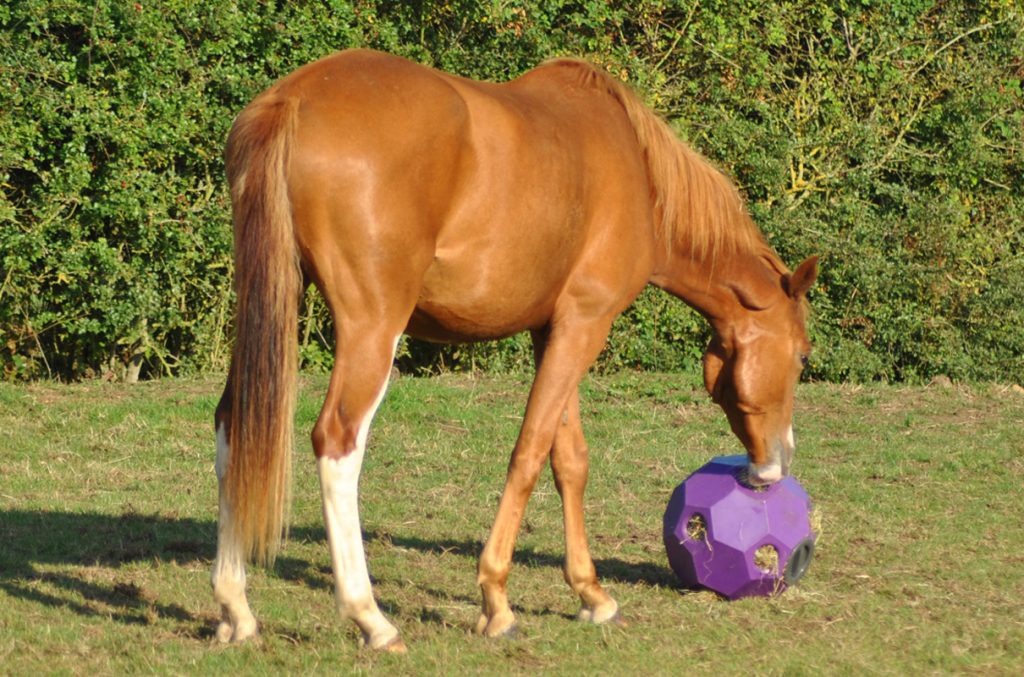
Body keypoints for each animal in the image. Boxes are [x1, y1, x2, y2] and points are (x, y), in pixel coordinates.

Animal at [212, 48, 818, 652]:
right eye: (803, 356)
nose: (776, 464)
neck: (640, 175)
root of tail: (294, 99)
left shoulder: (554, 329)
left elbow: (568, 459)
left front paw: (591, 594)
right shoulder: (585, 323)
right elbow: (529, 453)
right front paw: (496, 601)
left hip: (269, 304)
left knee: (232, 427)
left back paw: (235, 607)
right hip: (373, 329)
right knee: (338, 442)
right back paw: (372, 619)